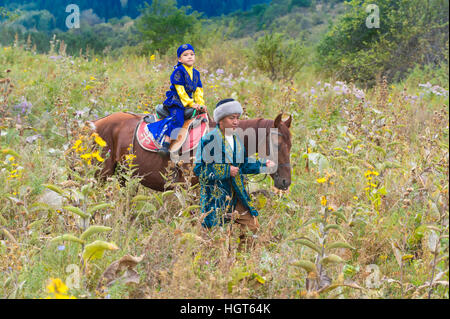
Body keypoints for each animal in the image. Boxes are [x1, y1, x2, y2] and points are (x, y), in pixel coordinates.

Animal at [92, 112, 292, 192]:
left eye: (290, 145)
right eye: (276, 144)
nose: (286, 182)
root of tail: (96, 123)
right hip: (102, 175)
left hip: (123, 176)